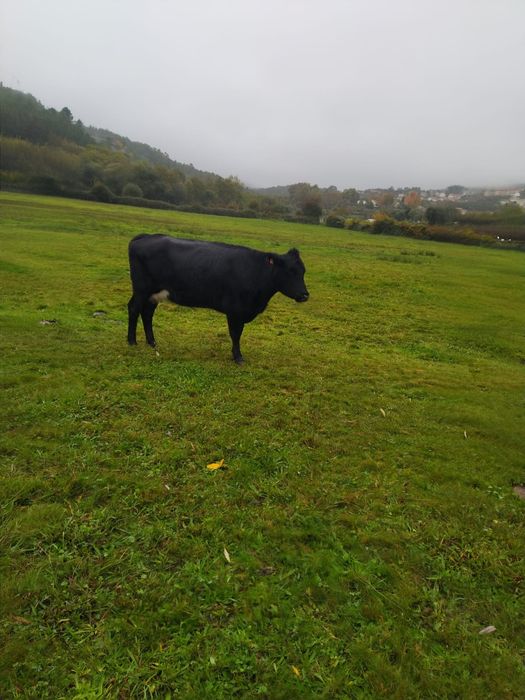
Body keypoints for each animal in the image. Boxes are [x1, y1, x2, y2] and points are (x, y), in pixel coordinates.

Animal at [127, 234, 309, 364]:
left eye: (303, 271)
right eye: (290, 271)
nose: (305, 295)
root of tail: (146, 236)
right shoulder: (235, 310)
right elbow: (236, 334)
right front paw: (238, 357)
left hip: (153, 294)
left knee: (147, 313)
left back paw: (152, 342)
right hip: (142, 289)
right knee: (134, 308)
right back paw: (131, 341)